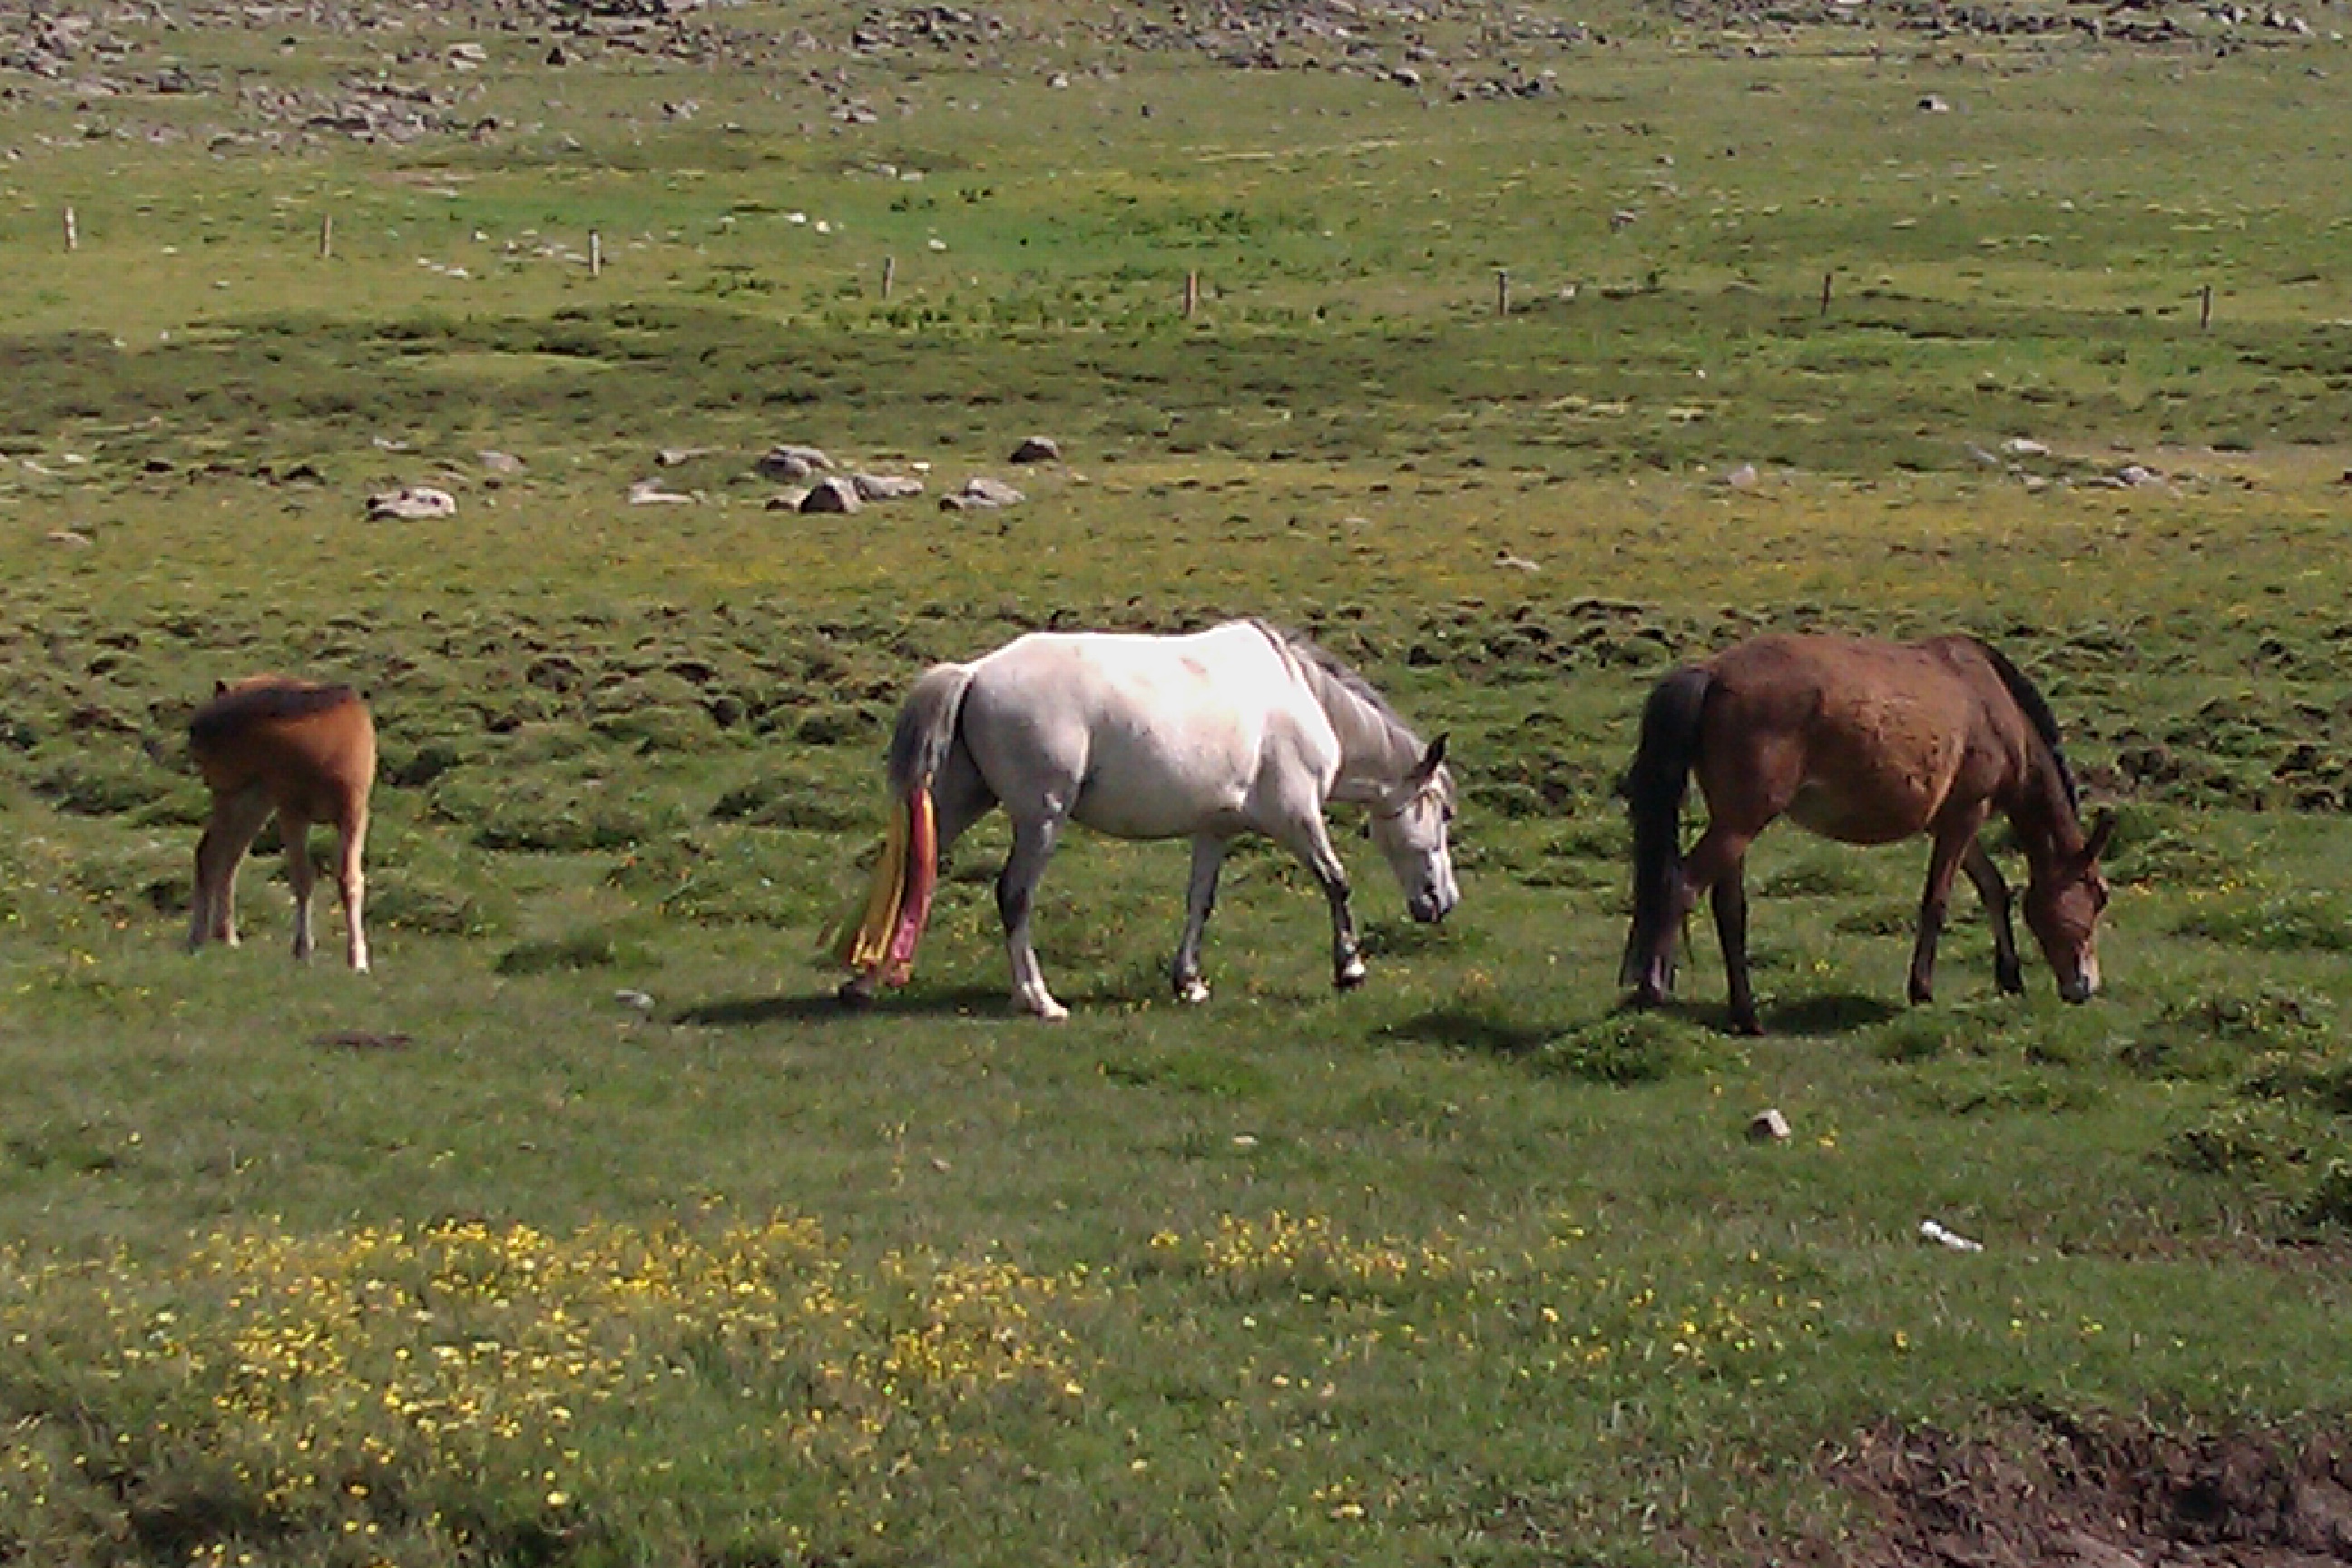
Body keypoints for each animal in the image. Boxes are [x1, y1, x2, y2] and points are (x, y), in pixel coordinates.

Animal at [185, 681, 374, 973]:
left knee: (227, 857)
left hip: (252, 800)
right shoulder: (292, 813)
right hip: (238, 798)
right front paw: (303, 949)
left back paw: (225, 936)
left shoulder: (353, 814)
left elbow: (349, 880)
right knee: (212, 854)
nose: (196, 733)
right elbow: (302, 879)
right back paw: (200, 937)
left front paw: (358, 960)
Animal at [837, 620, 1458, 1024]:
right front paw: (1349, 968)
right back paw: (1038, 999)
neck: (1298, 695)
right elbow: (1336, 882)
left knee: (908, 876)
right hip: (1040, 819)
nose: (1442, 901)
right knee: (1013, 895)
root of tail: (973, 673)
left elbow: (1200, 902)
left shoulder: (1215, 830)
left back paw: (862, 983)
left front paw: (1189, 980)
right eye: (1443, 813)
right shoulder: (1298, 818)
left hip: (959, 804)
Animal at [1618, 630, 2116, 1034]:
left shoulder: (1953, 820)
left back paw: (1745, 1014)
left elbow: (1993, 888)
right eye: (2098, 895)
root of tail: (1711, 673)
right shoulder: (1964, 817)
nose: (2084, 986)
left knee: (1728, 910)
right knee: (1681, 886)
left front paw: (2009, 977)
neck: (1991, 702)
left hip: (1732, 825)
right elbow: (1936, 903)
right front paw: (1921, 989)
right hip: (1741, 823)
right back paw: (1655, 990)